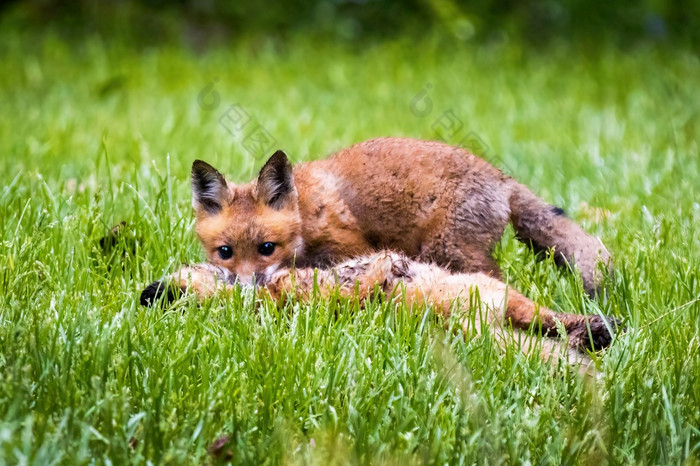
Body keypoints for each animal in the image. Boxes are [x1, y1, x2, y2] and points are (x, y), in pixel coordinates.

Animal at [141, 251, 616, 372]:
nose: (150, 293)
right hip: (490, 313)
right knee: (542, 331)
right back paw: (592, 337)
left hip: (498, 299)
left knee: (545, 321)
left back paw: (594, 331)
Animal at [193, 137, 612, 294]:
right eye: (225, 253)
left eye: (267, 247)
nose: (245, 289)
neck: (306, 213)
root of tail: (502, 179)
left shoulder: (349, 247)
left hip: (448, 249)